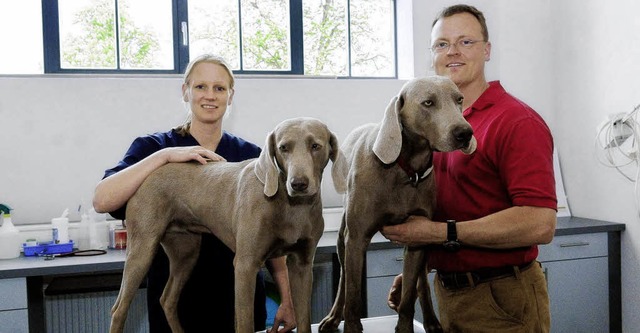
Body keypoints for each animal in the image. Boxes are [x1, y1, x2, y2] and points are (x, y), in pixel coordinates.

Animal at [110, 116, 350, 332]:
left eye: (315, 146)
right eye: (283, 148)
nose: (298, 183)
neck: (292, 206)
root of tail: (149, 173)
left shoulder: (302, 264)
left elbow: (303, 320)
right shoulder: (245, 265)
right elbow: (245, 323)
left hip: (186, 251)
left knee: (167, 299)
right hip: (142, 248)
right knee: (119, 309)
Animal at [318, 76, 476, 332]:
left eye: (459, 99)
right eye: (428, 102)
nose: (465, 133)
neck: (406, 169)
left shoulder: (417, 236)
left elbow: (409, 295)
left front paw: (405, 327)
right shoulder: (357, 238)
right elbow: (353, 296)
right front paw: (351, 324)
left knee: (421, 283)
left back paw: (431, 320)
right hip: (344, 239)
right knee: (344, 279)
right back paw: (332, 318)